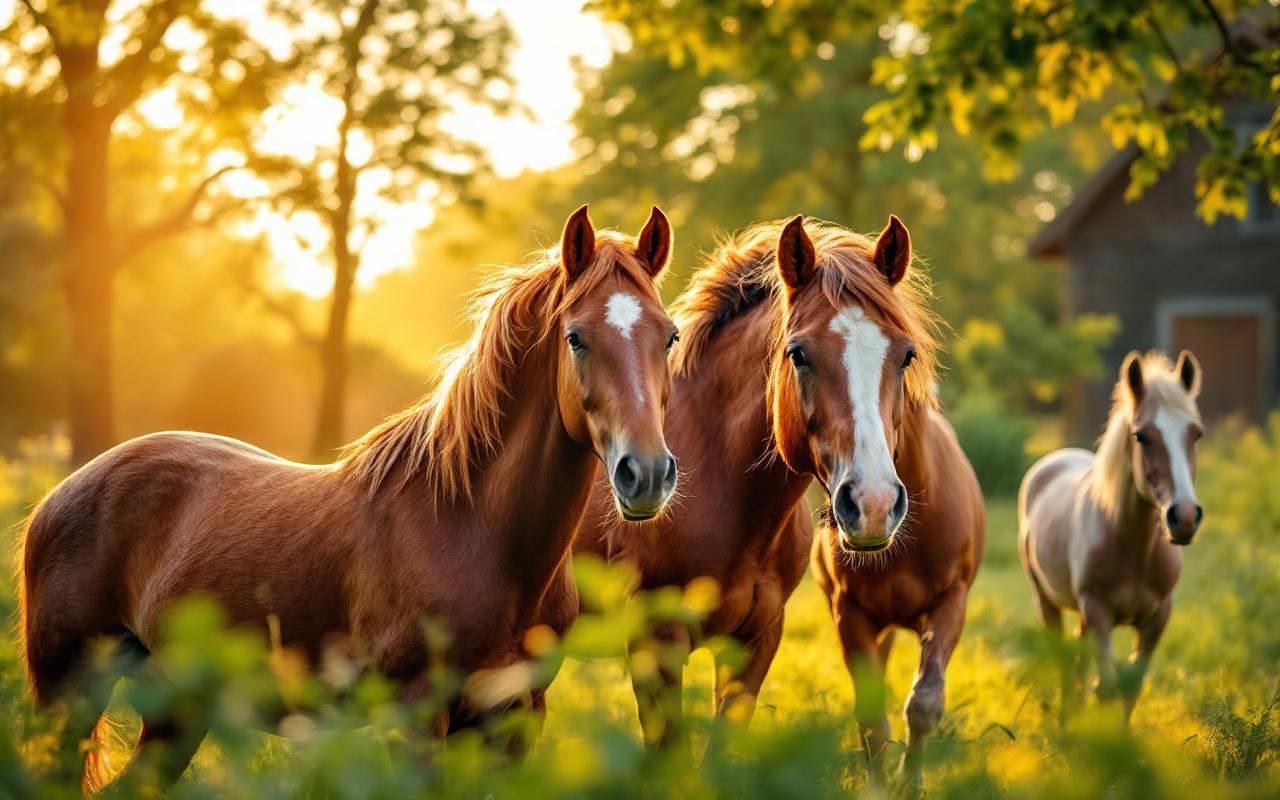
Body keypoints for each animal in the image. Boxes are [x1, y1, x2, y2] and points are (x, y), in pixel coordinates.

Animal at [20, 204, 681, 789]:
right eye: (576, 337)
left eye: (669, 337)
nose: (646, 473)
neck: (473, 528)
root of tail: (61, 494)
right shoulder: (416, 718)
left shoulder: (515, 721)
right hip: (71, 697)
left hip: (175, 712)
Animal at [777, 216, 985, 789]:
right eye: (797, 353)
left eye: (906, 354)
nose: (871, 504)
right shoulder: (850, 614)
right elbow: (871, 719)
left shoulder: (951, 603)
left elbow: (925, 705)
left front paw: (911, 784)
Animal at [1019, 350, 1203, 724]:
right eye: (1141, 436)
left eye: (1196, 434)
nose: (1185, 516)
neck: (1134, 550)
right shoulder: (1098, 612)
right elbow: (1106, 686)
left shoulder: (1158, 618)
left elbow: (1130, 687)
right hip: (1048, 602)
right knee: (1064, 663)